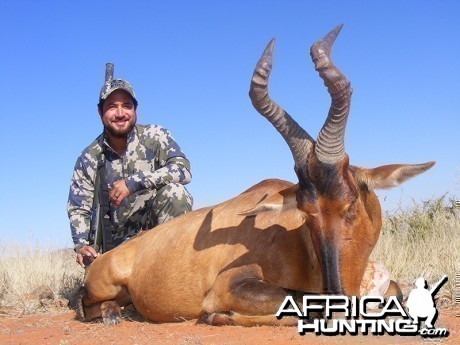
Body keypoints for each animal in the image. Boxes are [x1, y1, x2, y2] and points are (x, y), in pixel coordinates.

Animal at [74, 26, 432, 326]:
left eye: (351, 204)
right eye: (307, 215)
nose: (339, 302)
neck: (295, 241)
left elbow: (394, 288)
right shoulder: (229, 286)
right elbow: (298, 302)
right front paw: (218, 316)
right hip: (103, 285)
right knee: (85, 304)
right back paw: (111, 314)